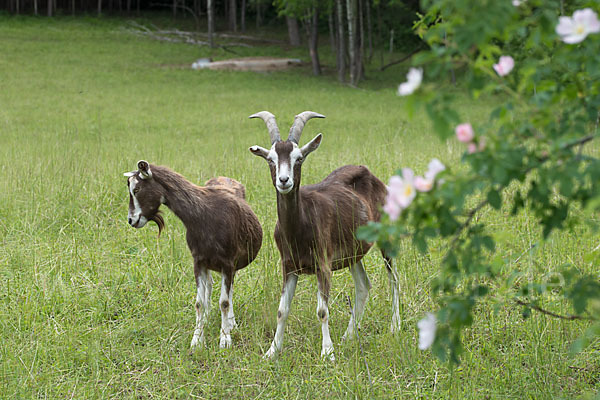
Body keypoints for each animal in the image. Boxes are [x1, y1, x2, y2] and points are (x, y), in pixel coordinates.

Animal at [123, 161, 262, 348]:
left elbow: (224, 302)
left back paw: (231, 323)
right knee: (210, 285)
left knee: (230, 290)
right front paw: (197, 340)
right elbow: (199, 303)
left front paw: (225, 339)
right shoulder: (199, 261)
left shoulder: (228, 262)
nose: (132, 220)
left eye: (137, 189)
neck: (202, 215)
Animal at [250, 111, 404, 360]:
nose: (284, 181)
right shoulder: (289, 266)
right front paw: (271, 352)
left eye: (299, 158)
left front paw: (328, 352)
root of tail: (372, 175)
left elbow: (322, 310)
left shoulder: (323, 264)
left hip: (386, 236)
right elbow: (282, 310)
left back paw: (395, 326)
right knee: (363, 285)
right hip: (353, 253)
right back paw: (349, 335)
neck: (299, 226)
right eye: (271, 159)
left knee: (394, 278)